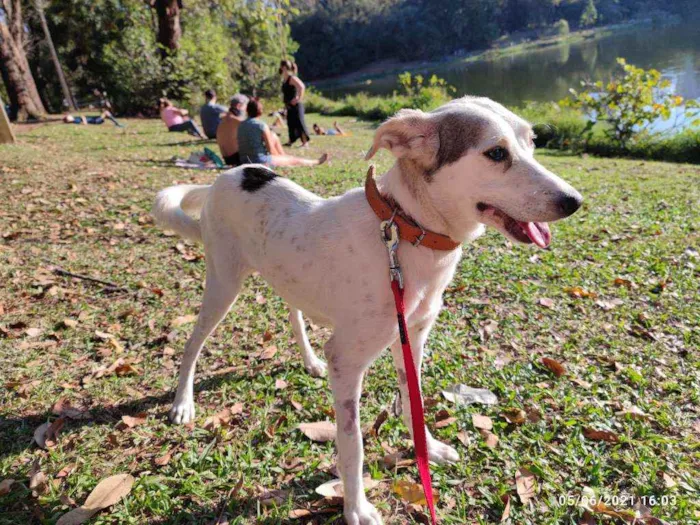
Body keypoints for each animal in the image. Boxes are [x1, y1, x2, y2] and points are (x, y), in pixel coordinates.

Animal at [154, 96, 584, 520]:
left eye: (532, 141)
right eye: (496, 153)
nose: (574, 201)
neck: (407, 233)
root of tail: (230, 175)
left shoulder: (412, 338)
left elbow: (413, 403)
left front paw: (427, 448)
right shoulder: (346, 361)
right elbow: (352, 445)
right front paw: (356, 506)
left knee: (293, 312)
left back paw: (309, 361)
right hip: (223, 285)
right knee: (193, 343)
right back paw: (183, 403)